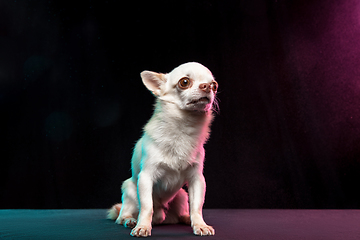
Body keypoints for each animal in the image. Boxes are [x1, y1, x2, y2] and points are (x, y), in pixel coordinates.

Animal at [107, 62, 218, 236]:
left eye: (214, 85)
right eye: (184, 82)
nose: (207, 87)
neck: (183, 129)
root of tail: (165, 217)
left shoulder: (197, 179)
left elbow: (197, 207)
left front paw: (200, 225)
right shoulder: (145, 178)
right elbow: (147, 206)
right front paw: (143, 226)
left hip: (181, 195)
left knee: (180, 213)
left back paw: (185, 218)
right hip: (130, 189)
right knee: (124, 213)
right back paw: (130, 220)